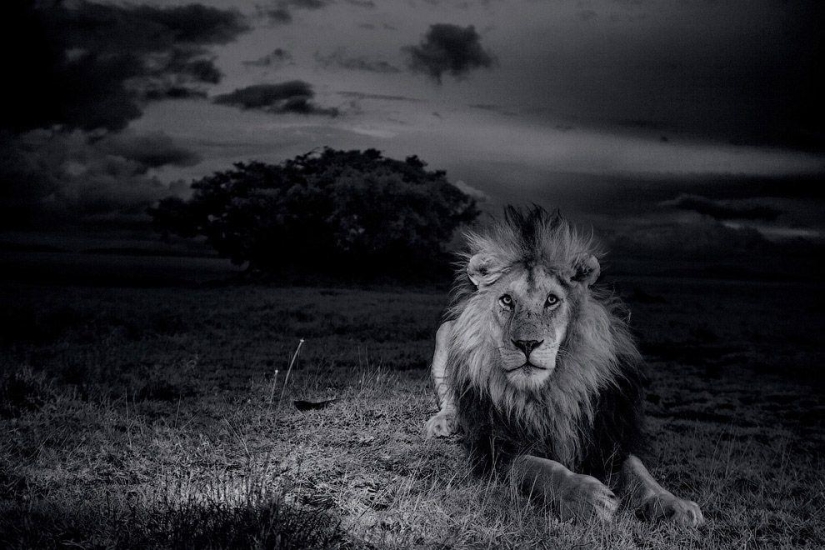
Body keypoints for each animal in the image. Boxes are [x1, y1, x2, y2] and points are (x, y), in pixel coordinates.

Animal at [424, 207, 704, 526]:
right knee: (450, 399)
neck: (549, 392)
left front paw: (674, 504)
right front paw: (587, 496)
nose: (527, 343)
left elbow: (639, 471)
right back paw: (444, 422)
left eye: (551, 300)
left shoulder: (605, 431)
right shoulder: (496, 446)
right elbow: (537, 467)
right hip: (446, 331)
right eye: (507, 300)